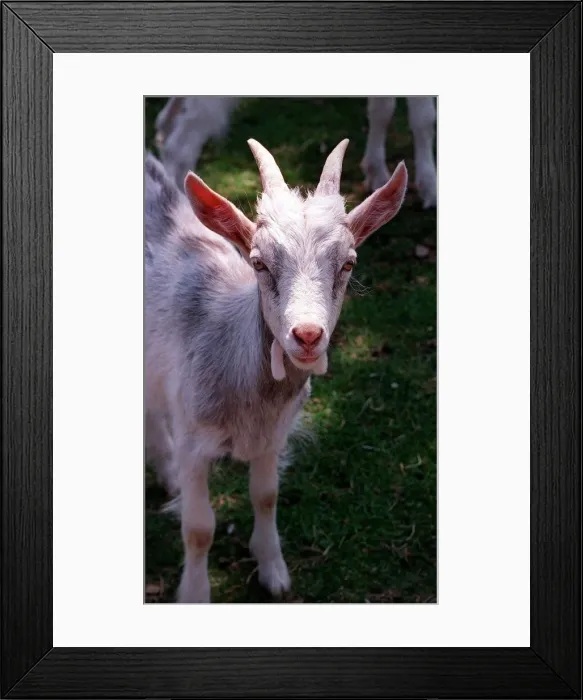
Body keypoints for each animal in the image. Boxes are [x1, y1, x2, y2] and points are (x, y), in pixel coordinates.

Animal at [145, 138, 408, 603]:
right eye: (259, 263)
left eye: (348, 263)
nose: (307, 334)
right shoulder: (193, 438)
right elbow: (199, 529)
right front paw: (194, 594)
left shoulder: (273, 435)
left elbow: (266, 496)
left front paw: (273, 571)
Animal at [154, 96, 436, 208]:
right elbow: (424, 118)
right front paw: (430, 189)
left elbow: (382, 110)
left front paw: (376, 173)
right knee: (179, 146)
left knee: (166, 123)